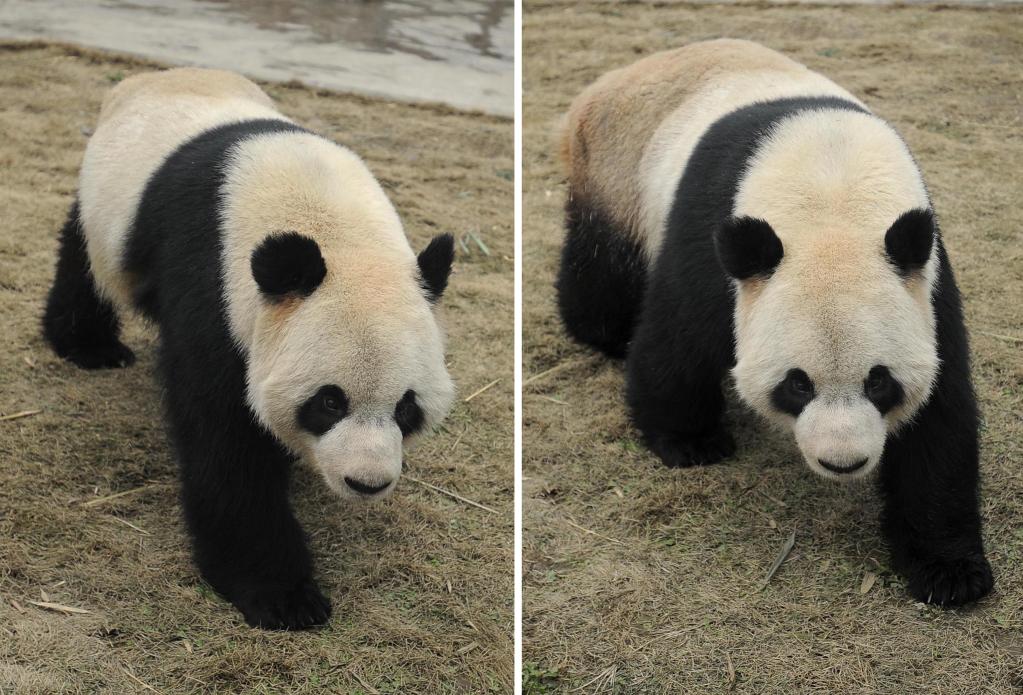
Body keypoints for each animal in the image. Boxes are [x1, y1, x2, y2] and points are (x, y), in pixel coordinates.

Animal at [41, 69, 454, 630]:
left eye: (406, 408)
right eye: (329, 401)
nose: (366, 482)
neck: (333, 226)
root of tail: (155, 75)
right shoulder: (214, 288)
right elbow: (226, 445)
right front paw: (283, 597)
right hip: (107, 205)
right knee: (84, 259)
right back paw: (89, 346)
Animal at [556, 38, 994, 605]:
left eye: (879, 382)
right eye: (797, 384)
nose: (842, 462)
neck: (831, 194)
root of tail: (616, 78)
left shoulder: (924, 279)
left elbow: (940, 419)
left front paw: (949, 571)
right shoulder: (712, 238)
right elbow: (678, 340)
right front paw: (691, 442)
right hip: (617, 175)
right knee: (602, 272)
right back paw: (605, 334)